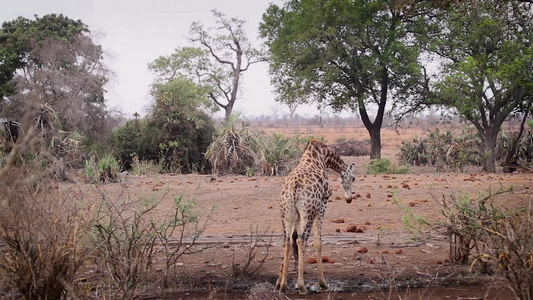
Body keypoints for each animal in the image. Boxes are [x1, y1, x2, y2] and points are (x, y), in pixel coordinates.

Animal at [274, 139, 354, 294]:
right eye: (353, 178)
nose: (349, 199)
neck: (322, 157)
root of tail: (293, 186)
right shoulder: (323, 204)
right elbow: (318, 242)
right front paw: (323, 283)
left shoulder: (297, 215)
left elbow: (292, 237)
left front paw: (279, 281)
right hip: (309, 212)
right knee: (301, 239)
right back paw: (302, 286)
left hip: (286, 212)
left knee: (287, 240)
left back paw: (283, 285)